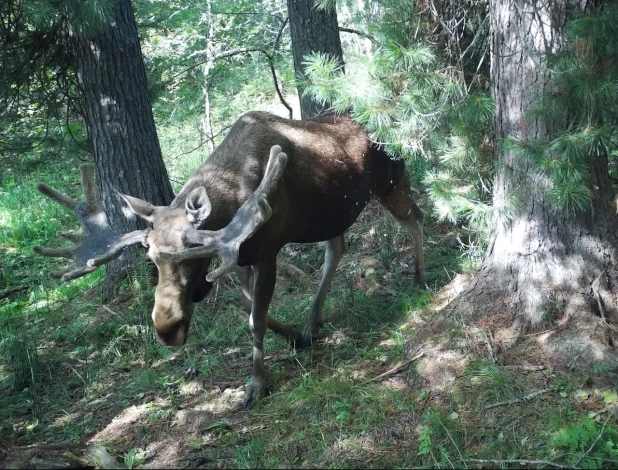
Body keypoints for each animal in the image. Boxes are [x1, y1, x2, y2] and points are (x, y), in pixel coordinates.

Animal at [33, 111, 424, 408]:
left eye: (192, 255)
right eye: (152, 258)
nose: (166, 328)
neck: (233, 197)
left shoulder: (266, 249)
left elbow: (256, 319)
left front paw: (256, 385)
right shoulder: (240, 257)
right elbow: (252, 308)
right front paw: (294, 336)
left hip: (390, 179)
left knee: (415, 217)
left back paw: (419, 278)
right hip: (333, 214)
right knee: (337, 248)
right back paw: (312, 323)